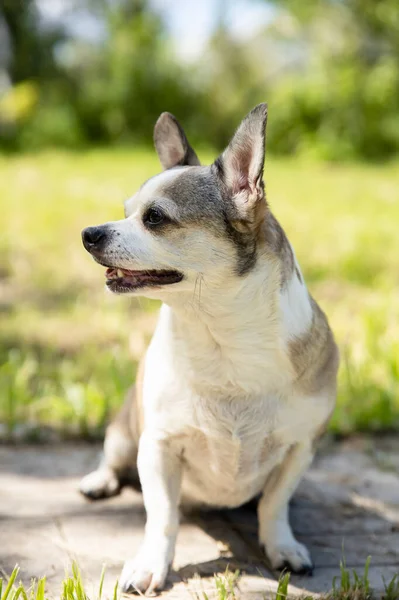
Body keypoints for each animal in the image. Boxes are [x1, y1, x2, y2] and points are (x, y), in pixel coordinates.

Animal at [79, 104, 340, 596]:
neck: (221, 334)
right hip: (125, 434)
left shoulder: (300, 448)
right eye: (124, 212)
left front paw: (282, 547)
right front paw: (151, 565)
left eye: (154, 218)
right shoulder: (157, 447)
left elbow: (274, 505)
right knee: (111, 456)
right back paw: (98, 480)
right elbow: (162, 517)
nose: (89, 232)